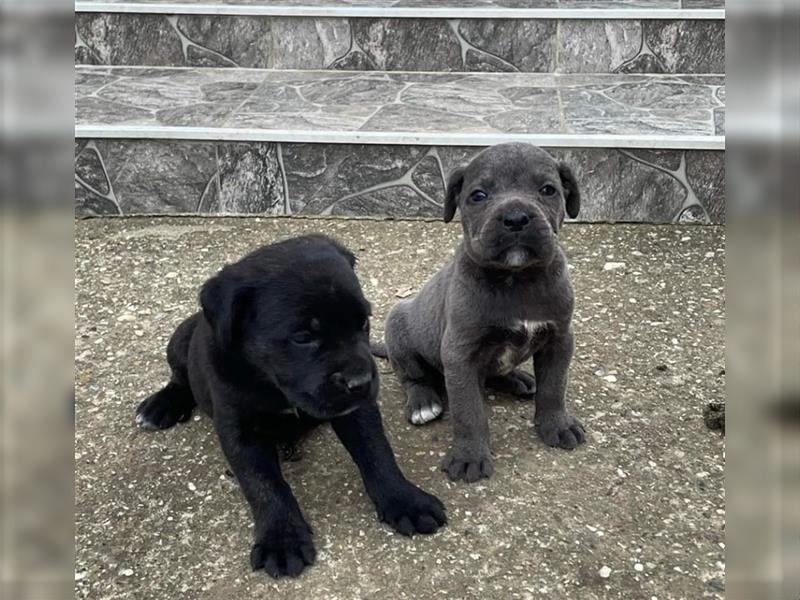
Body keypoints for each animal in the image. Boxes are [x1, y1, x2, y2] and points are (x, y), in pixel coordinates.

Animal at [139, 234, 450, 576]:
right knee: (179, 378)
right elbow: (264, 485)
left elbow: (376, 452)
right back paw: (160, 406)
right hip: (180, 338)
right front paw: (282, 539)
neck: (273, 384)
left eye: (364, 322)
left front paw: (404, 500)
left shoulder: (356, 411)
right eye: (302, 337)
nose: (361, 382)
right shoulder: (241, 430)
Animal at [376, 144, 588, 482]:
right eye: (478, 195)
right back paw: (423, 402)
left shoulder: (560, 339)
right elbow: (469, 411)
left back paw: (518, 379)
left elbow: (554, 387)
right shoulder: (460, 355)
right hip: (399, 331)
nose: (516, 218)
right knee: (414, 377)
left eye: (548, 190)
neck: (517, 280)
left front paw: (557, 424)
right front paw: (469, 456)